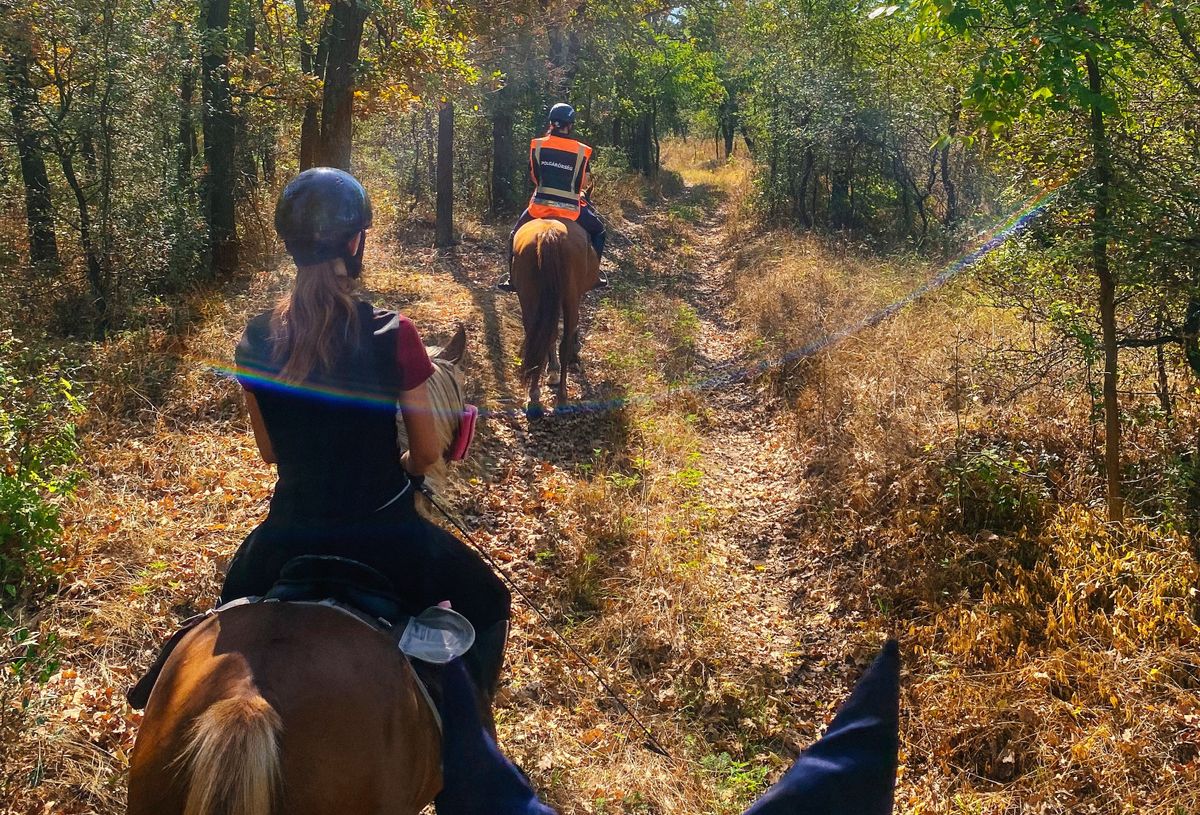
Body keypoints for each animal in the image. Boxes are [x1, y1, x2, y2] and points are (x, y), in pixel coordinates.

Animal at [508, 217, 597, 417]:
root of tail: (548, 234)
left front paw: (552, 371)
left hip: (529, 296)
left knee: (539, 339)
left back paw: (534, 399)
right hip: (570, 296)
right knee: (563, 342)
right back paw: (561, 398)